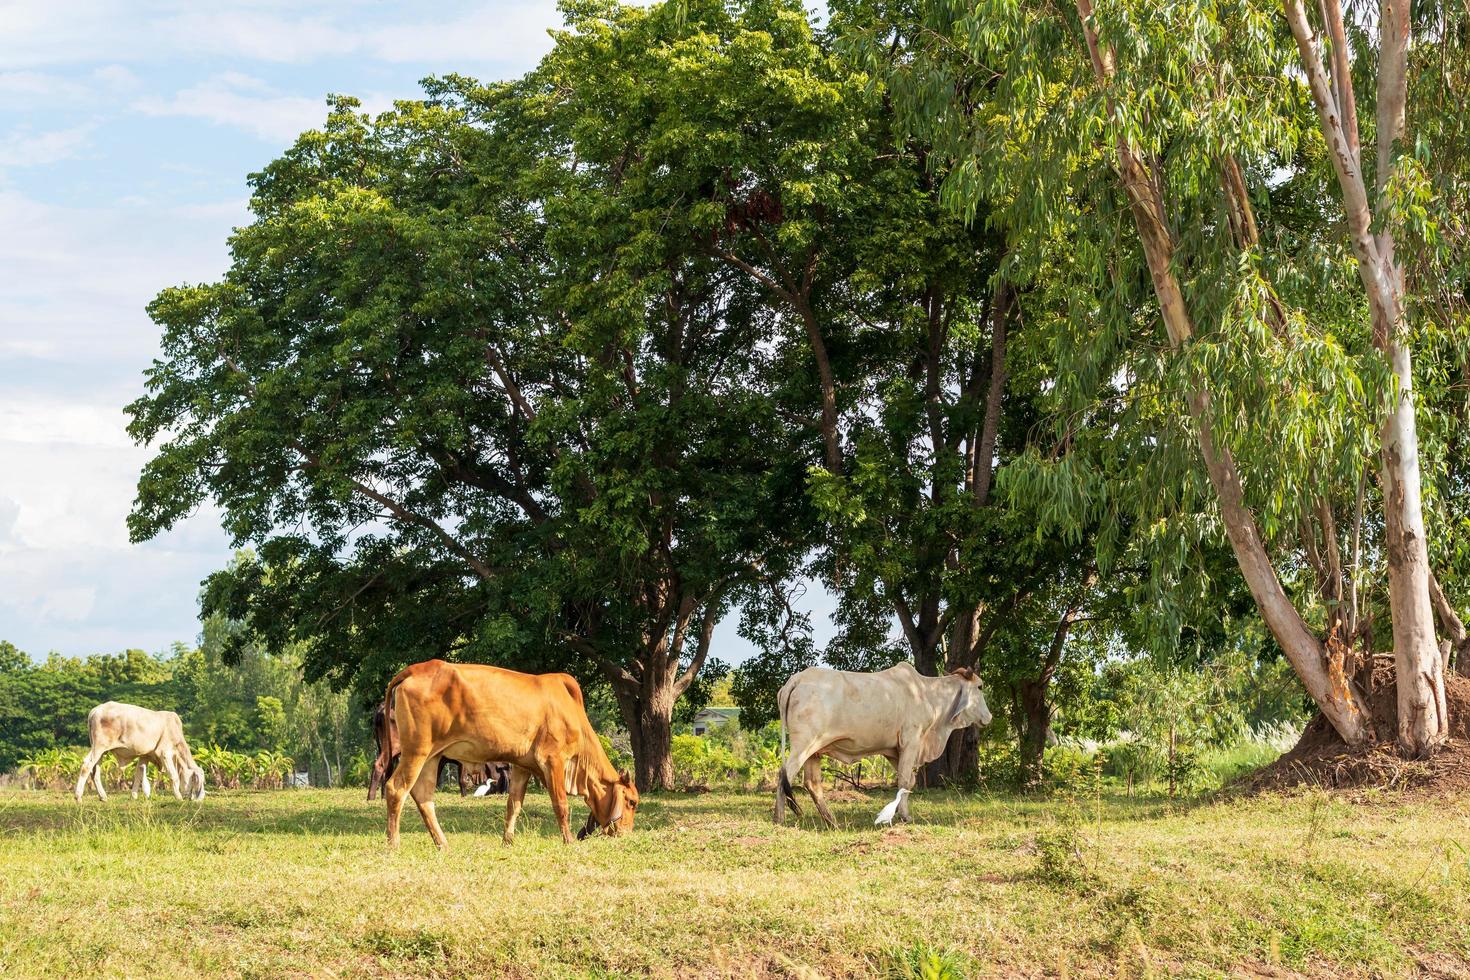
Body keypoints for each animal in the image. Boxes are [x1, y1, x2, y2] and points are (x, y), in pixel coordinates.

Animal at [74, 705, 205, 805]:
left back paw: (103, 796)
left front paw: (133, 796)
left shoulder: (145, 756)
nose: (195, 799)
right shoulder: (164, 753)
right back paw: (78, 797)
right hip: (99, 747)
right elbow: (174, 776)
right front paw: (178, 797)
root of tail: (95, 710)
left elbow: (138, 774)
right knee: (86, 766)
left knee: (95, 771)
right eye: (197, 781)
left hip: (101, 751)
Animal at [376, 658, 635, 852]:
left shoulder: (522, 765)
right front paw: (569, 840)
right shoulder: (552, 759)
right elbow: (561, 804)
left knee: (423, 795)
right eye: (632, 801)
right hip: (416, 751)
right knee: (396, 788)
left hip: (432, 757)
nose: (626, 833)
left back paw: (443, 844)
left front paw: (508, 841)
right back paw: (394, 844)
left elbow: (514, 804)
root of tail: (417, 668)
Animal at [776, 664, 993, 834]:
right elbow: (904, 780)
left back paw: (832, 822)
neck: (927, 694)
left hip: (815, 750)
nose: (989, 717)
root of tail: (796, 679)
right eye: (980, 686)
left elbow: (909, 781)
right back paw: (779, 819)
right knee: (783, 775)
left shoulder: (893, 749)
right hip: (803, 744)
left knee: (812, 784)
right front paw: (905, 817)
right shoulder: (911, 741)